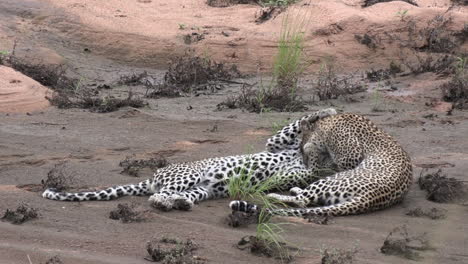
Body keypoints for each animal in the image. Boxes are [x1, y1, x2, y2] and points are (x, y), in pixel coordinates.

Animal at [42, 107, 338, 210]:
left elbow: (306, 171)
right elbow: (294, 124)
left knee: (177, 195)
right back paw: (167, 202)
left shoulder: (293, 169)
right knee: (156, 196)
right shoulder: (277, 144)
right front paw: (325, 111)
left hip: (203, 189)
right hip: (189, 175)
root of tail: (153, 177)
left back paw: (180, 203)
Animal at [230, 113, 414, 217]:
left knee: (303, 200)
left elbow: (319, 161)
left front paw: (310, 149)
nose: (303, 158)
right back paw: (294, 189)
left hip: (332, 180)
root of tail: (371, 198)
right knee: (306, 199)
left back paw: (274, 195)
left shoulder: (351, 156)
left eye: (301, 150)